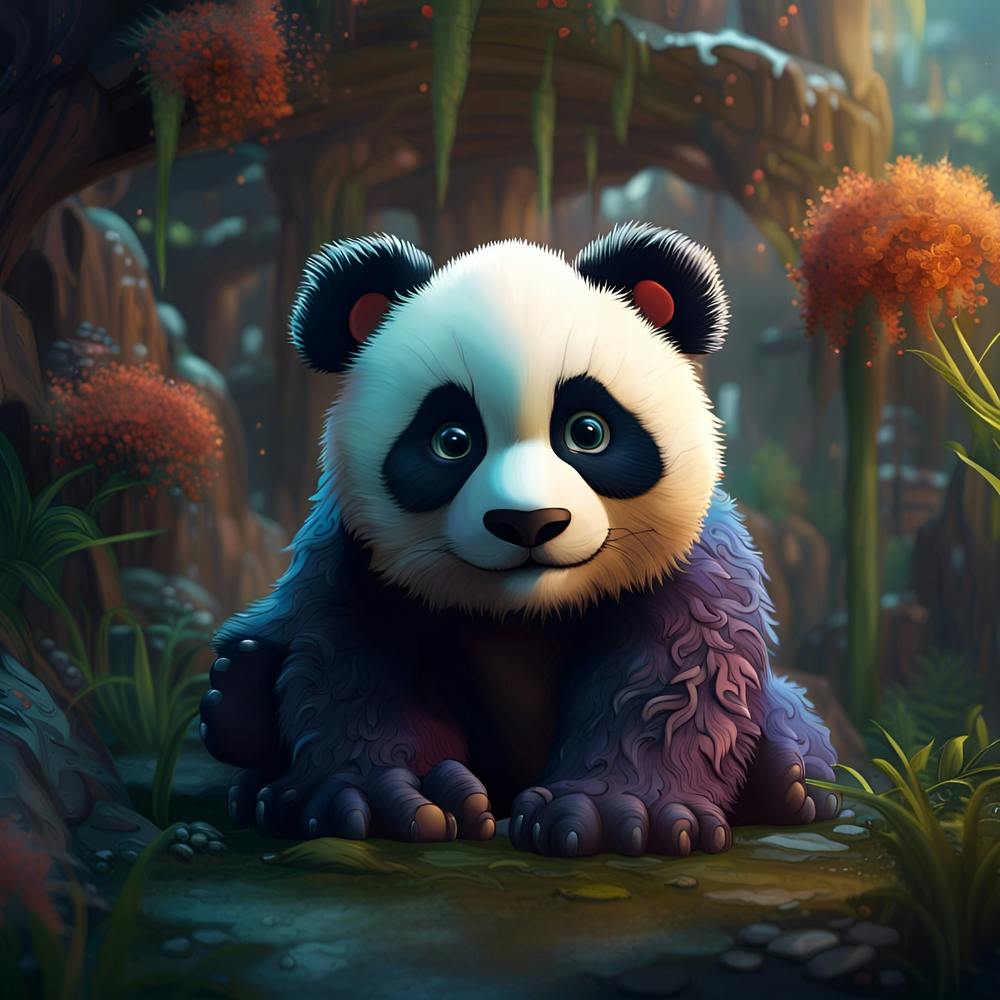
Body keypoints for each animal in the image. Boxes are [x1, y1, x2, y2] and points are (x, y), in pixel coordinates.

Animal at [200, 222, 839, 857]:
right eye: (452, 440)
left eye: (588, 431)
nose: (528, 522)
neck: (526, 611)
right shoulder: (356, 558)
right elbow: (351, 665)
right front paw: (386, 800)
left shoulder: (684, 561)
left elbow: (673, 675)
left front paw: (621, 816)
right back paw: (236, 697)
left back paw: (788, 781)